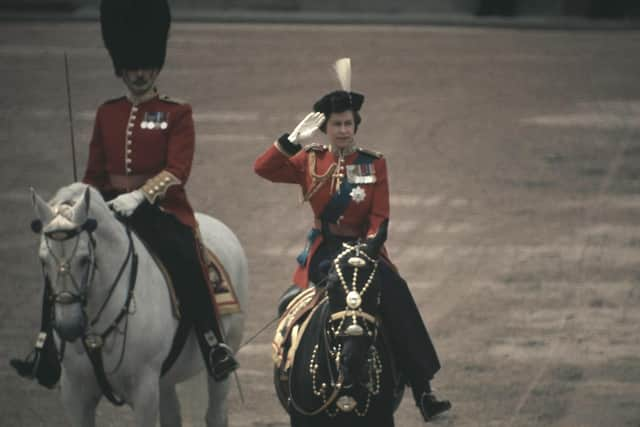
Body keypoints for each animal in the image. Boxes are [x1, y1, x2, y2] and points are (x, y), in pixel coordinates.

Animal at [31, 184, 249, 427]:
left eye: (84, 259)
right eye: (43, 261)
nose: (68, 327)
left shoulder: (144, 391)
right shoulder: (74, 392)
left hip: (225, 353)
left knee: (215, 412)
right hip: (165, 378)